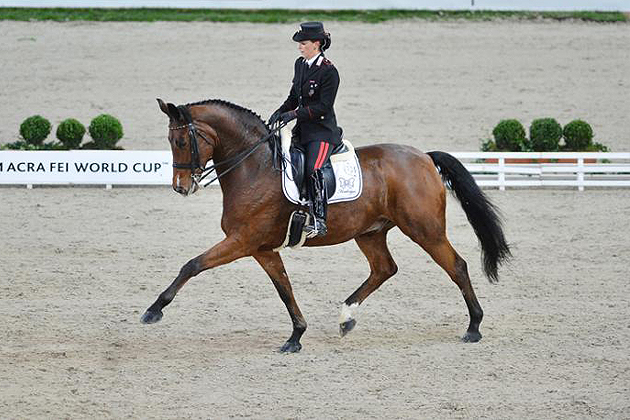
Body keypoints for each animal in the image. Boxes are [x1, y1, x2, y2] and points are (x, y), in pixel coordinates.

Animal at [141, 98, 511, 353]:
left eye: (182, 142)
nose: (180, 187)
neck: (254, 167)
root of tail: (423, 157)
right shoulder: (261, 248)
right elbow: (284, 287)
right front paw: (296, 336)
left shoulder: (242, 241)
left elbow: (192, 265)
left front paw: (153, 311)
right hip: (370, 232)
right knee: (384, 268)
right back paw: (346, 317)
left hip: (425, 230)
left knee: (457, 266)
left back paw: (474, 327)